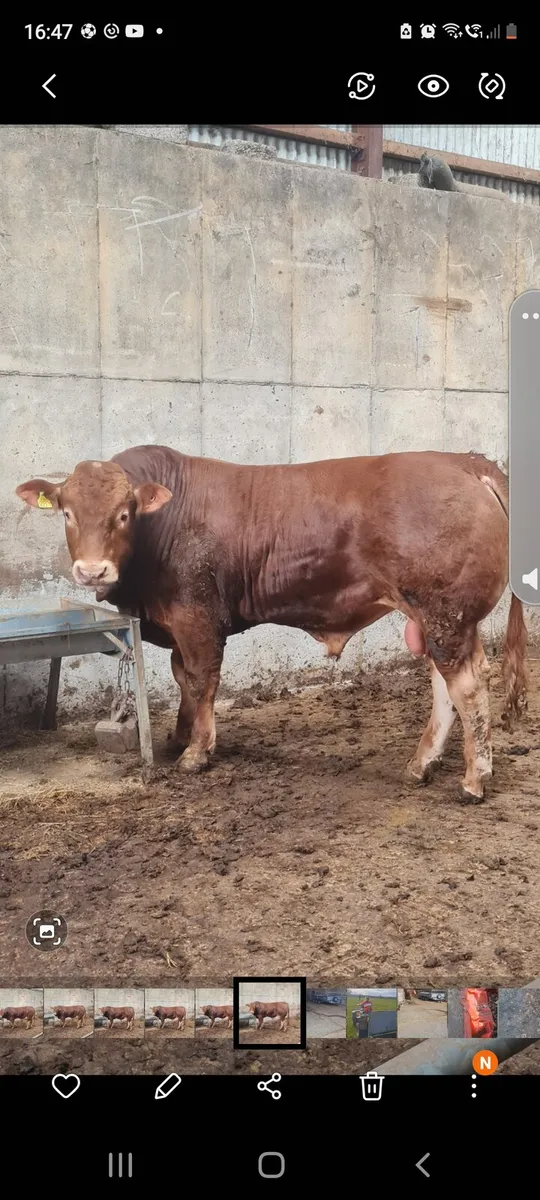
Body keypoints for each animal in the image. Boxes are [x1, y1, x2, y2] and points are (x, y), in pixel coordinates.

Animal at [16, 446, 527, 803]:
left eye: (123, 514)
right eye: (66, 512)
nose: (92, 571)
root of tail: (464, 462)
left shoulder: (197, 616)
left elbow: (201, 679)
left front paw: (196, 752)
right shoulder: (177, 624)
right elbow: (182, 678)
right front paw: (178, 736)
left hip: (446, 613)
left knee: (468, 687)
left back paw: (473, 779)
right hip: (438, 617)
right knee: (446, 683)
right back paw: (421, 764)